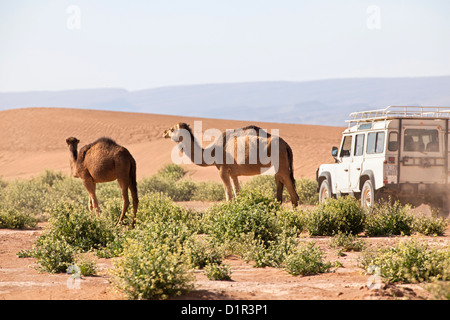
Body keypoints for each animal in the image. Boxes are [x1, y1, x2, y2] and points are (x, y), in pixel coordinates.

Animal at [162, 121, 298, 206]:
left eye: (172, 129)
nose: (164, 132)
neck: (212, 152)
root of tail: (287, 146)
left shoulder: (223, 170)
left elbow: (229, 196)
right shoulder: (233, 173)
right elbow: (237, 195)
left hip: (282, 165)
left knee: (293, 193)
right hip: (277, 166)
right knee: (279, 187)